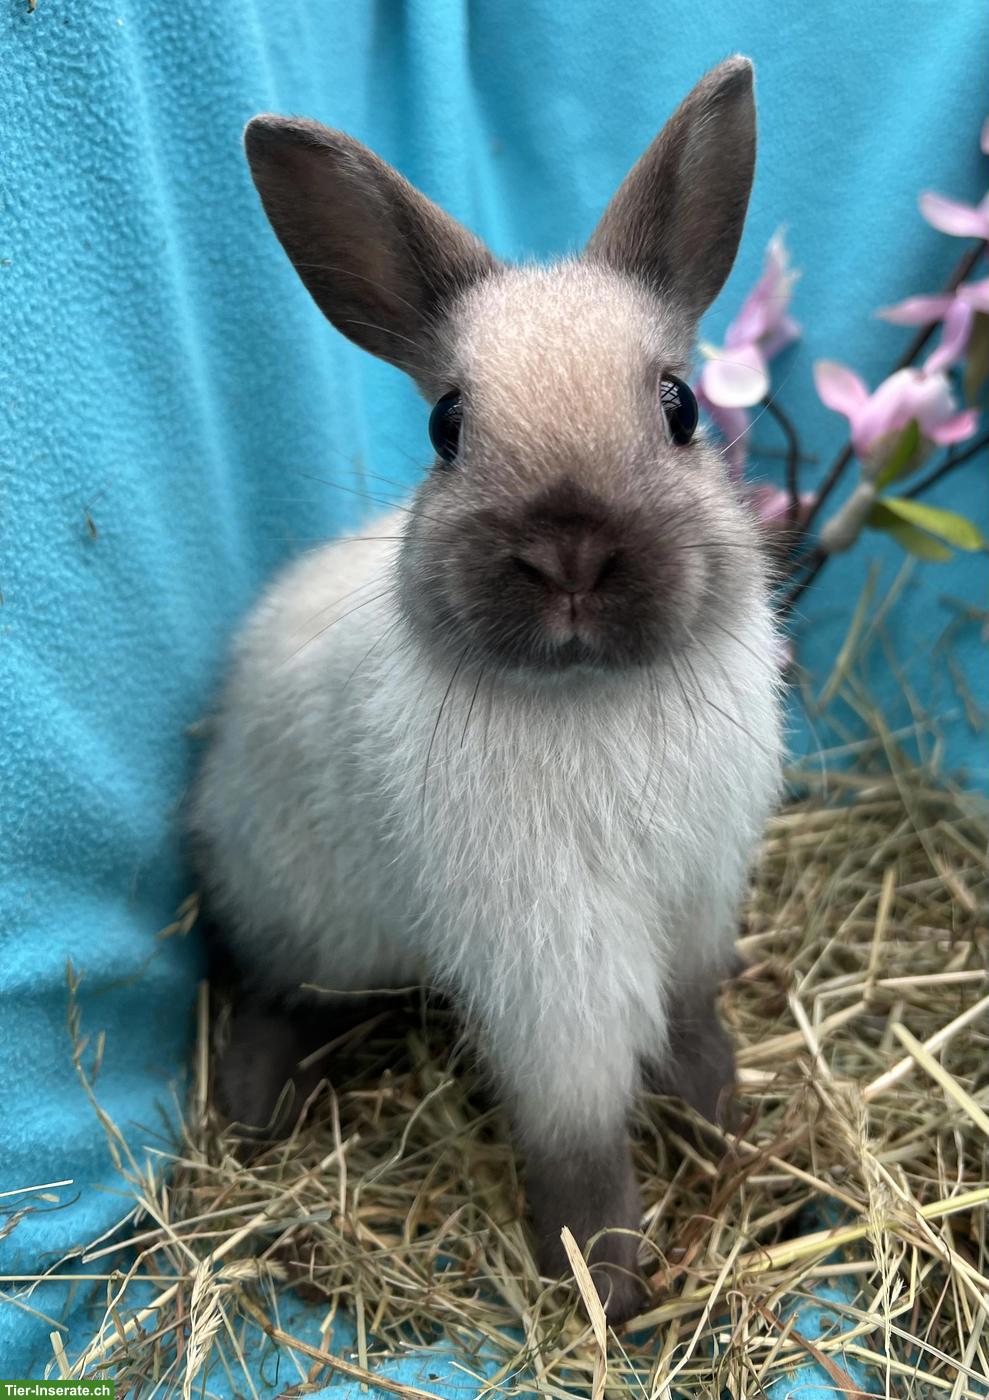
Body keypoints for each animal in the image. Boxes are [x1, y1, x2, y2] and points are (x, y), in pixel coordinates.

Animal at [190, 55, 784, 1326]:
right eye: (445, 423)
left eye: (680, 406)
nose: (569, 550)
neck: (591, 696)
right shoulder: (549, 970)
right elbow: (576, 1136)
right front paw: (605, 1281)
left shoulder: (694, 908)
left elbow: (695, 1029)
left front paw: (727, 1128)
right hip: (296, 910)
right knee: (265, 993)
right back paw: (252, 1111)